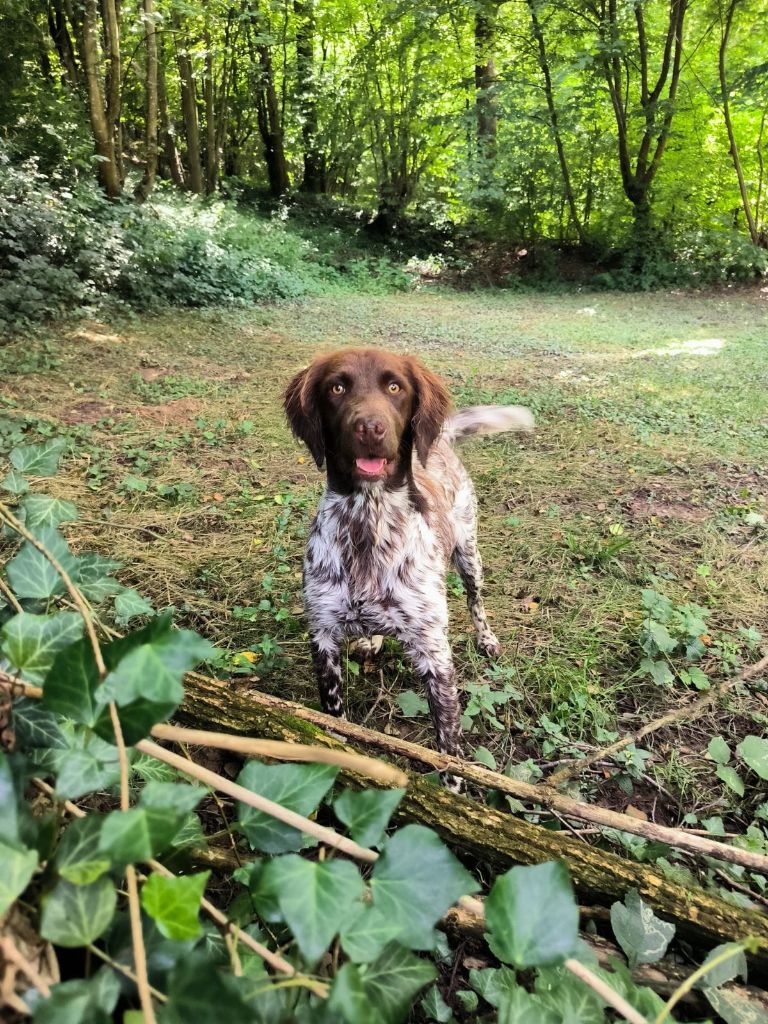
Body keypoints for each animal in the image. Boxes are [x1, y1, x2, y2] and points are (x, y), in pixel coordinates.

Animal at [284, 348, 536, 757]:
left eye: (394, 387)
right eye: (337, 387)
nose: (370, 428)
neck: (368, 521)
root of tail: (442, 440)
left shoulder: (434, 652)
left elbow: (448, 745)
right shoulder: (323, 638)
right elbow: (334, 722)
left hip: (469, 556)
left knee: (476, 601)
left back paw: (486, 638)